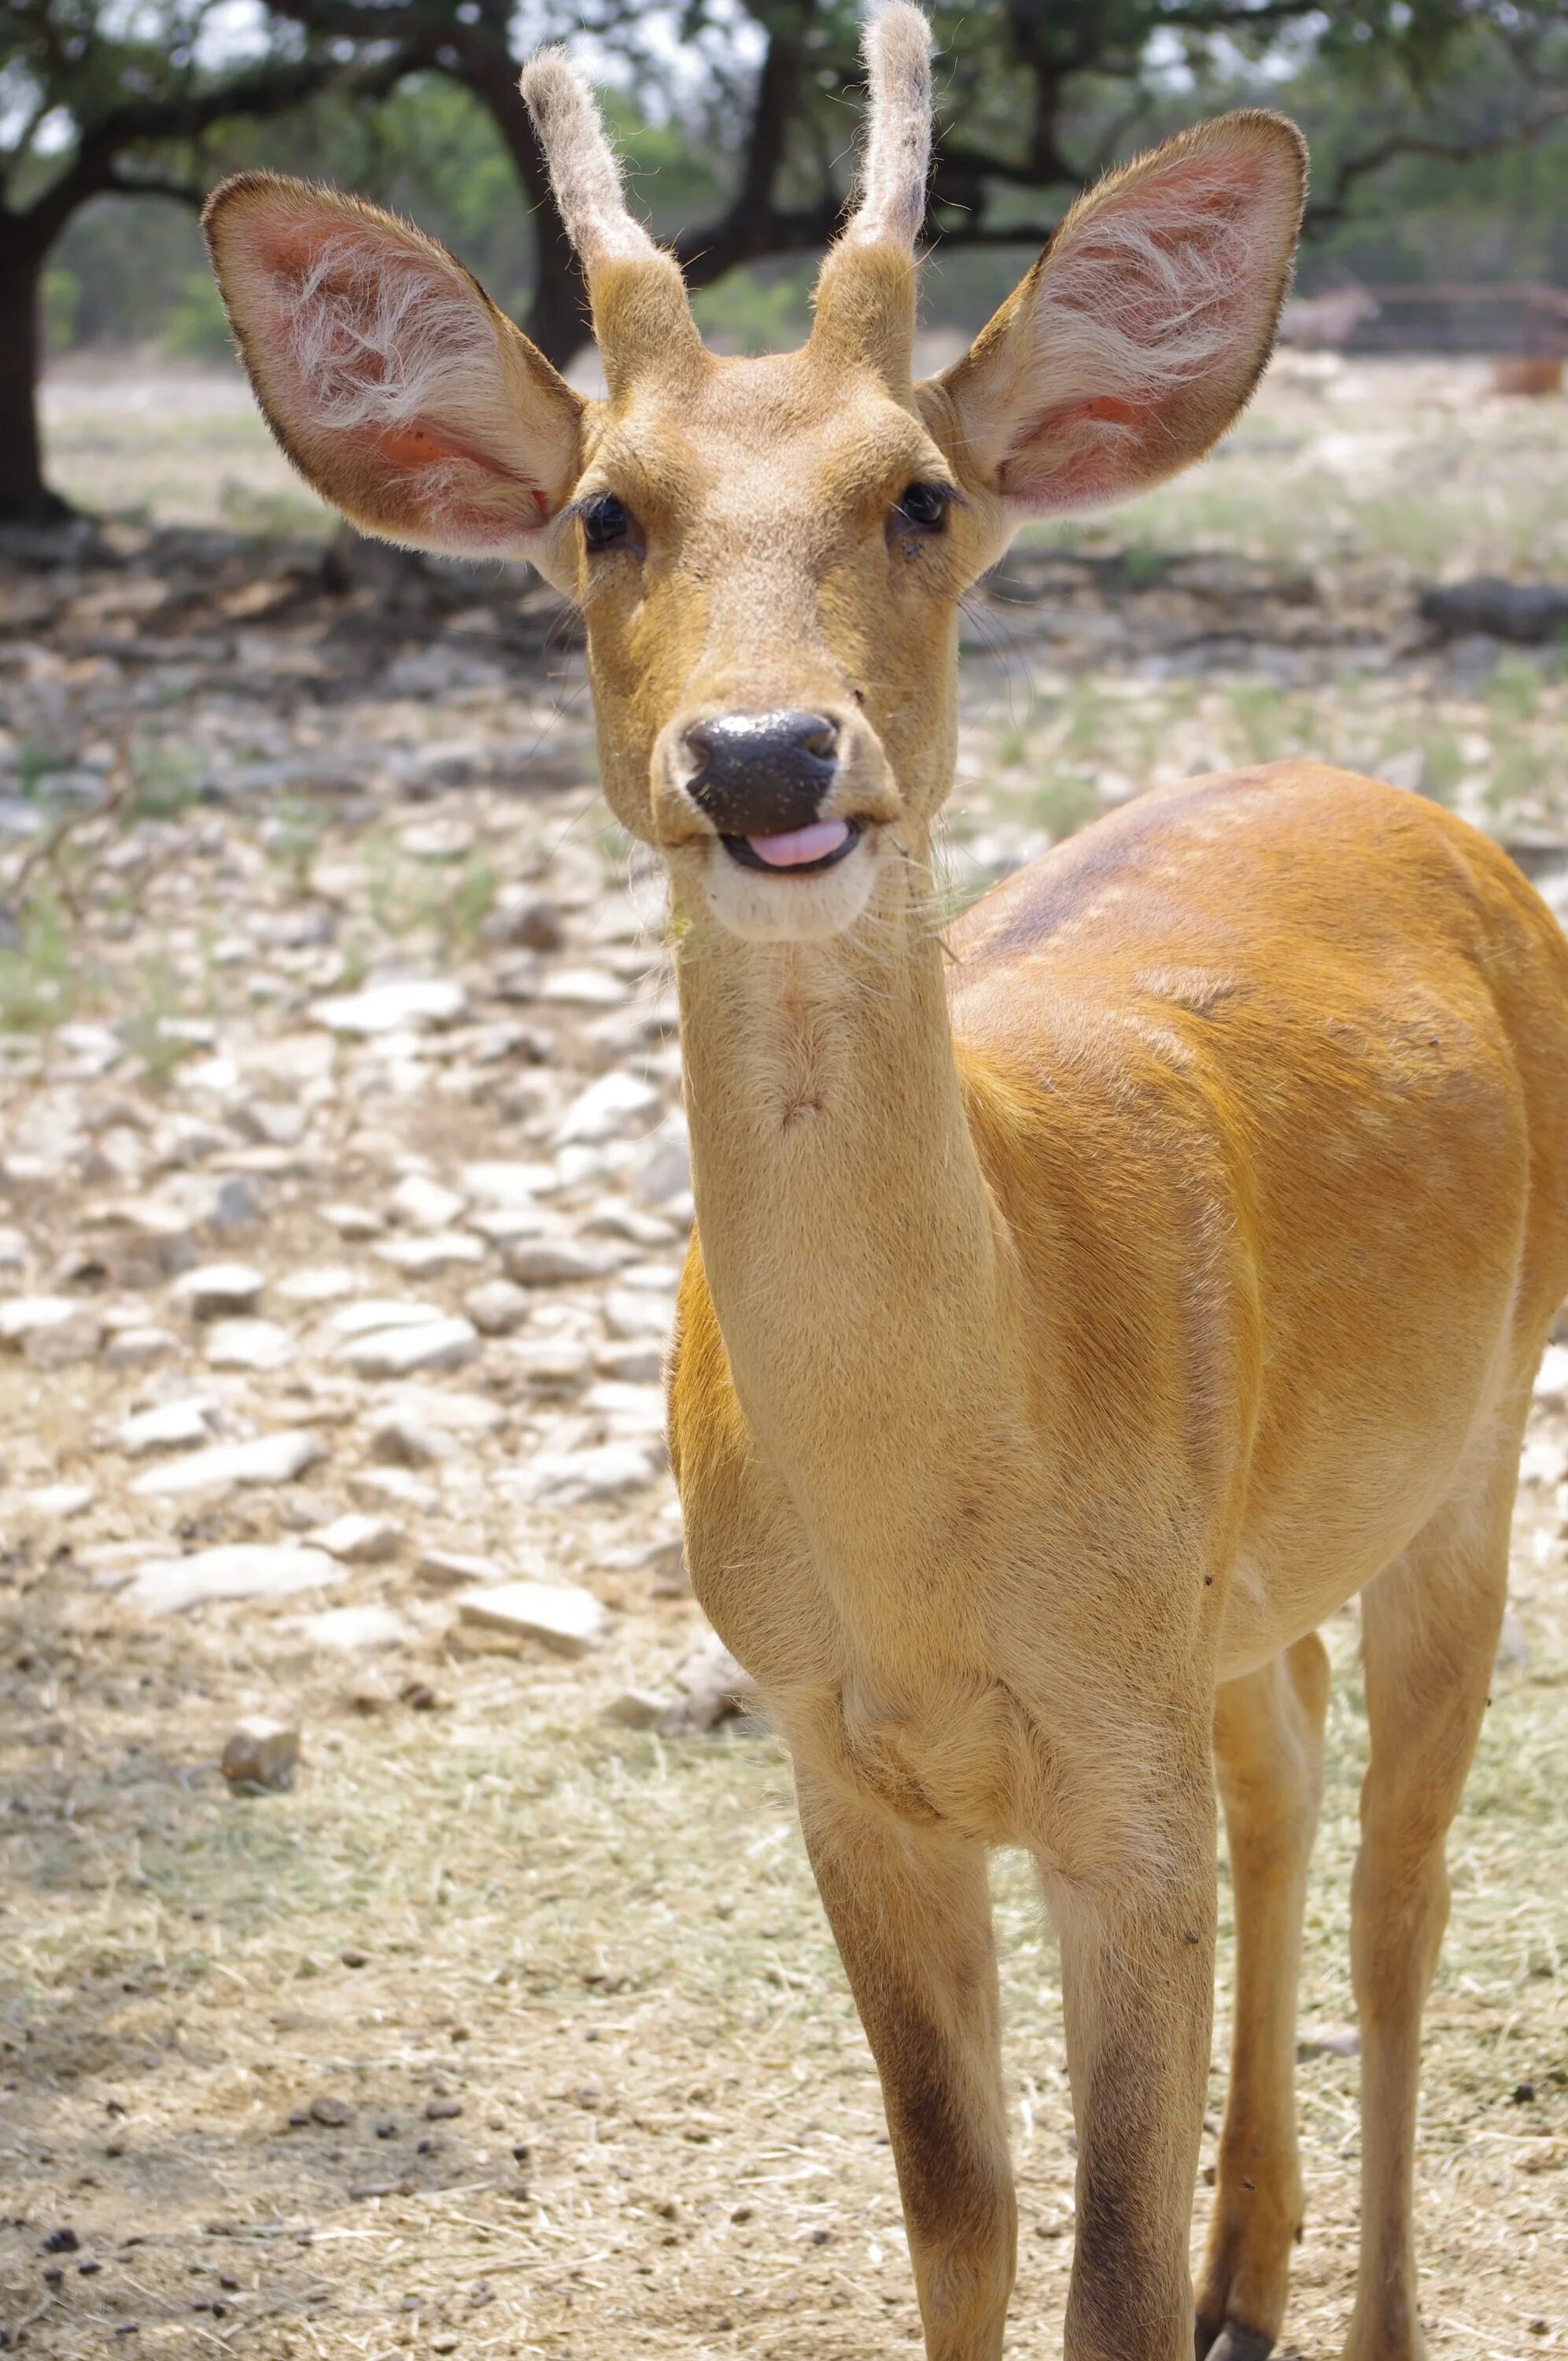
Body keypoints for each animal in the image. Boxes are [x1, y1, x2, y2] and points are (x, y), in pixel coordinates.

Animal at [201, 9, 1568, 2352]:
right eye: (604, 512)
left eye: (918, 493)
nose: (764, 756)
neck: (944, 1537)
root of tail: (1417, 814)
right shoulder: (837, 1759)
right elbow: (960, 2214)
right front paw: (1145, 2255)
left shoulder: (1111, 1773)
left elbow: (1095, 2268)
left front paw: (1185, 2271)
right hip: (1244, 1592)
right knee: (1291, 1769)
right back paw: (1254, 2268)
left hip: (1479, 1437)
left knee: (1406, 1881)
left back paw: (1363, 2301)